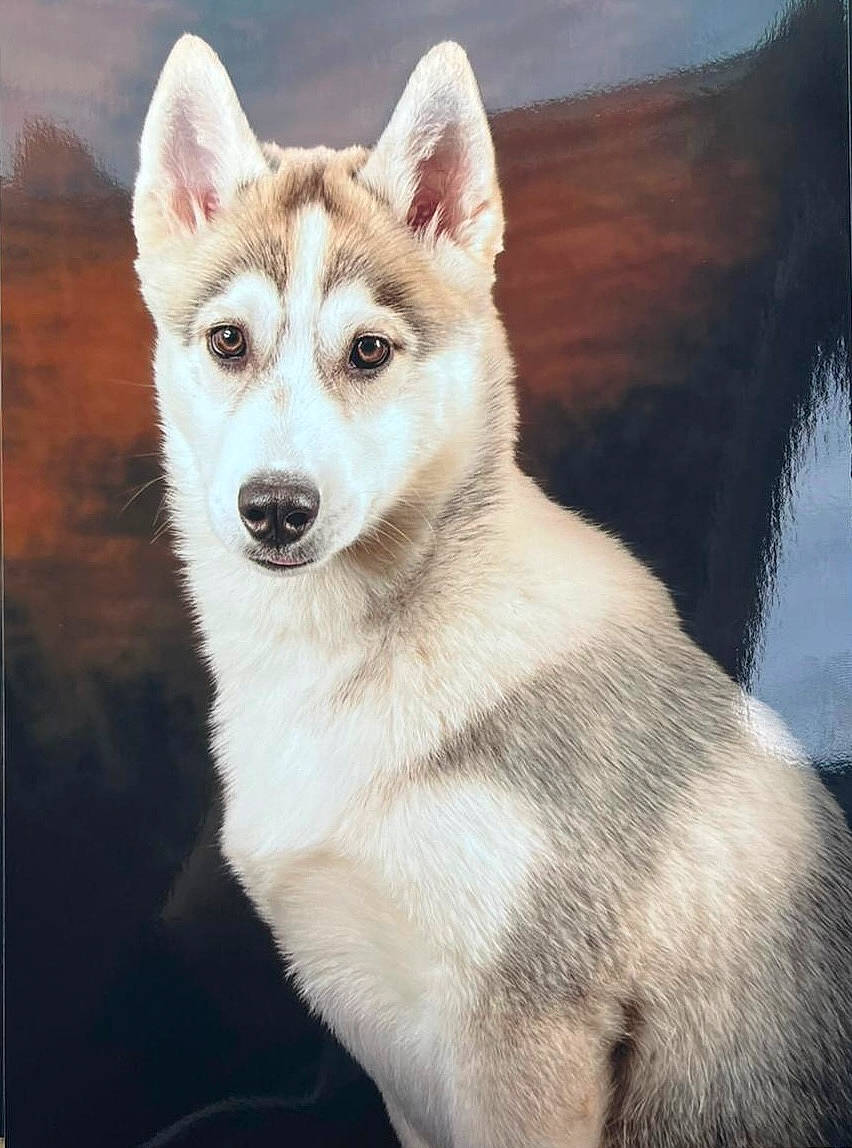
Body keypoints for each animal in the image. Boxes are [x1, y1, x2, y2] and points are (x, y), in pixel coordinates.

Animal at [133, 34, 852, 1147]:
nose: (276, 508)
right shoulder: (393, 1048)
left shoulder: (524, 1033)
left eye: (369, 349)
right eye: (227, 342)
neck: (353, 660)